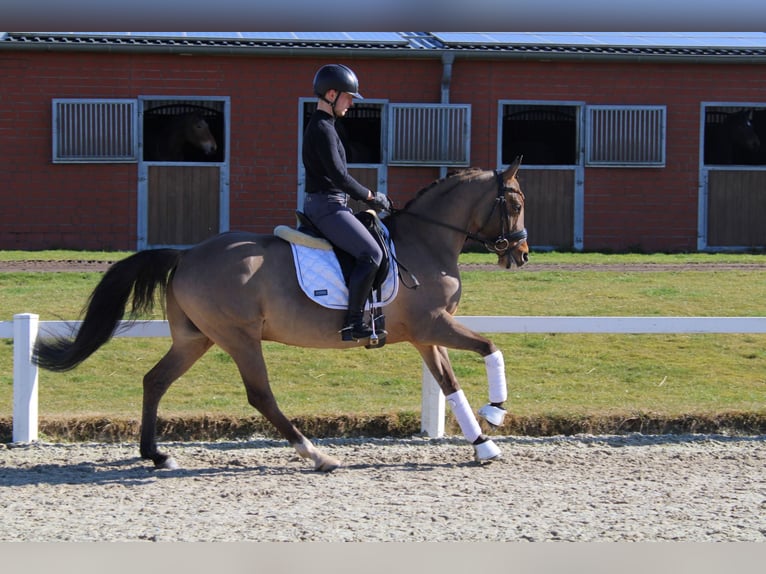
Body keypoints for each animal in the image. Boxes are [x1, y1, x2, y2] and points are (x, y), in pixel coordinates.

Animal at [33, 158, 532, 472]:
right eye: (515, 203)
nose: (522, 255)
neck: (425, 242)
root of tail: (187, 254)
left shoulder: (425, 334)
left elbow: (450, 385)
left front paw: (483, 444)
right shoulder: (434, 324)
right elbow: (491, 347)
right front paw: (496, 412)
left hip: (196, 339)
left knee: (155, 380)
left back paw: (156, 455)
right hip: (239, 338)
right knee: (261, 396)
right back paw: (317, 456)